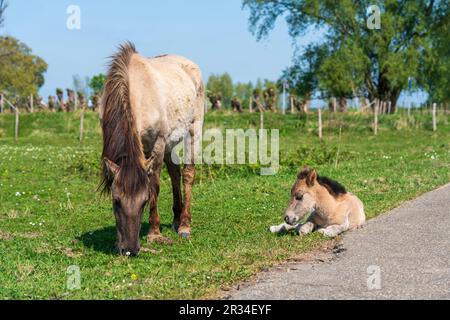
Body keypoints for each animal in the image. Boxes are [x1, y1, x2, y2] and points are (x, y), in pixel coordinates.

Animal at [99, 42, 205, 256]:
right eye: (116, 201)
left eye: (144, 201)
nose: (129, 250)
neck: (138, 91)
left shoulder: (158, 142)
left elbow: (154, 184)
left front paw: (154, 233)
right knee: (174, 173)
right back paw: (176, 219)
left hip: (193, 130)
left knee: (187, 174)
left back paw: (184, 225)